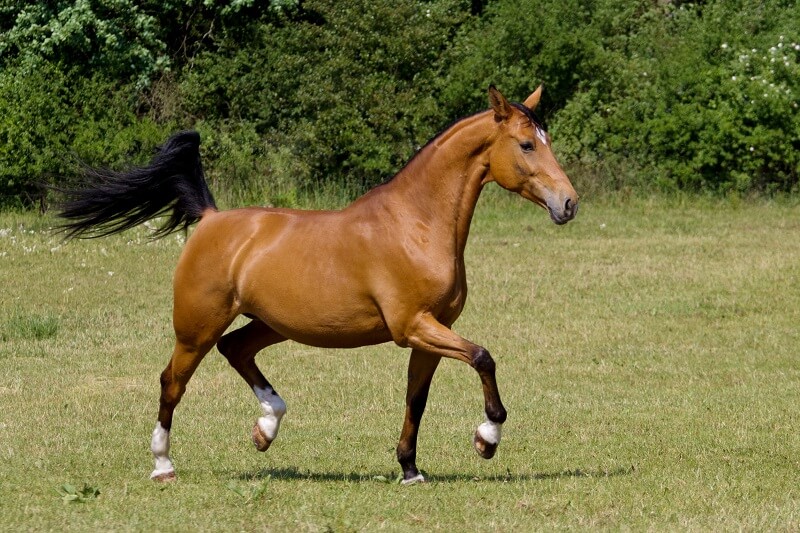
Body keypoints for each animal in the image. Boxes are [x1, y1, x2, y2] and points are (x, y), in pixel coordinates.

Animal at [59, 85, 580, 484]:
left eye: (546, 139)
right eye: (527, 145)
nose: (569, 203)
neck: (416, 223)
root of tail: (209, 218)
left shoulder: (432, 331)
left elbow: (418, 397)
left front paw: (410, 469)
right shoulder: (413, 326)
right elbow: (483, 358)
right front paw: (486, 440)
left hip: (271, 324)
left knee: (236, 350)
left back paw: (266, 427)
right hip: (196, 328)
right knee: (173, 382)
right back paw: (163, 464)